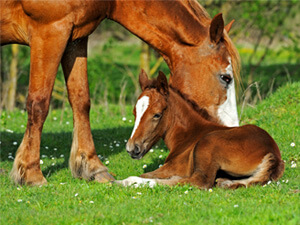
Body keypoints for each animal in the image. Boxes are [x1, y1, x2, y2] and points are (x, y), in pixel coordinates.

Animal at [0, 0, 240, 185]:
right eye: (225, 78)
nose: (232, 130)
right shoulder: (49, 31)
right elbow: (38, 103)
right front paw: (31, 174)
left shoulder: (75, 37)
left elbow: (81, 100)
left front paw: (91, 167)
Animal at [116, 71, 284, 190]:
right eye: (134, 113)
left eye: (157, 114)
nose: (132, 148)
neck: (189, 135)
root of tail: (272, 153)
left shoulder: (171, 167)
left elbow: (144, 174)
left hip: (208, 142)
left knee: (198, 181)